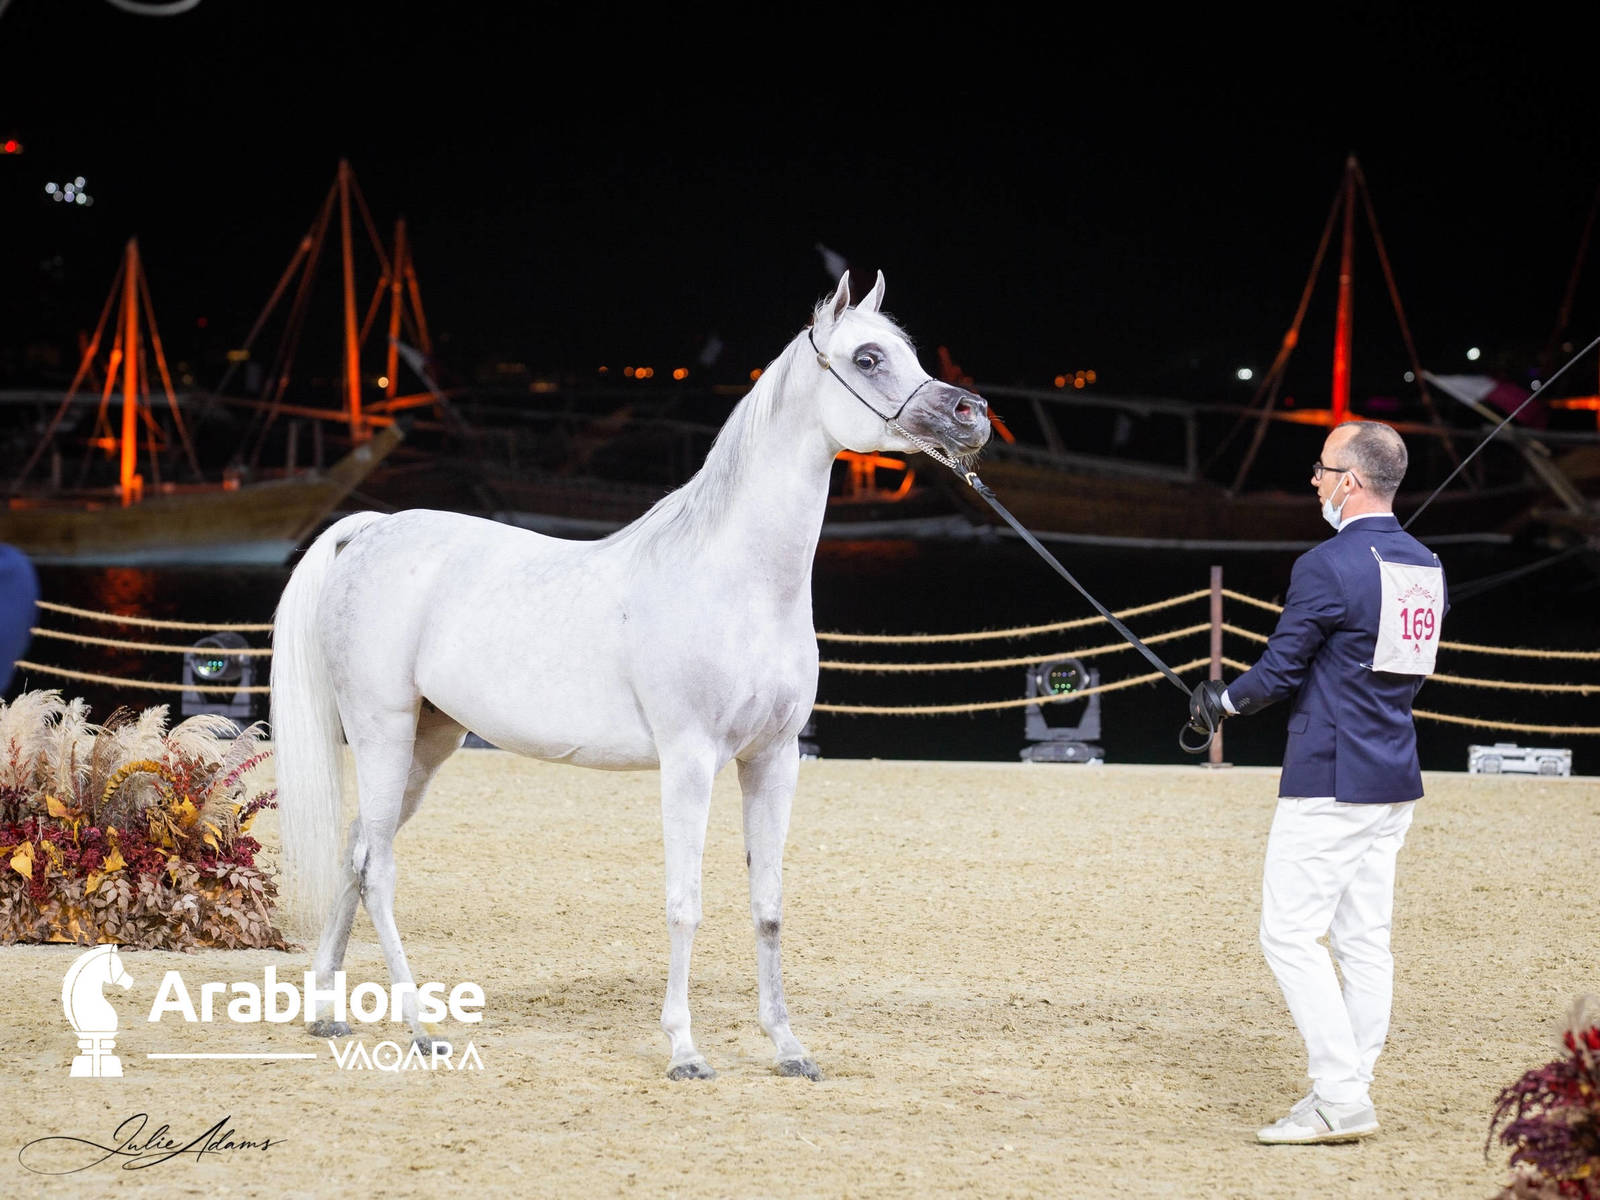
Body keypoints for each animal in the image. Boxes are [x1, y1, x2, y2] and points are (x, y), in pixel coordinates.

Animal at [269, 271, 991, 1080]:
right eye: (868, 357)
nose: (972, 417)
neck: (735, 580)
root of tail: (370, 530)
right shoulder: (690, 760)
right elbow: (685, 903)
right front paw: (684, 1050)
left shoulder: (773, 760)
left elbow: (768, 907)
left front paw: (788, 1047)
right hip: (383, 731)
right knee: (380, 869)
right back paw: (422, 1028)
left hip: (428, 743)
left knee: (356, 853)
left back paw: (327, 1012)